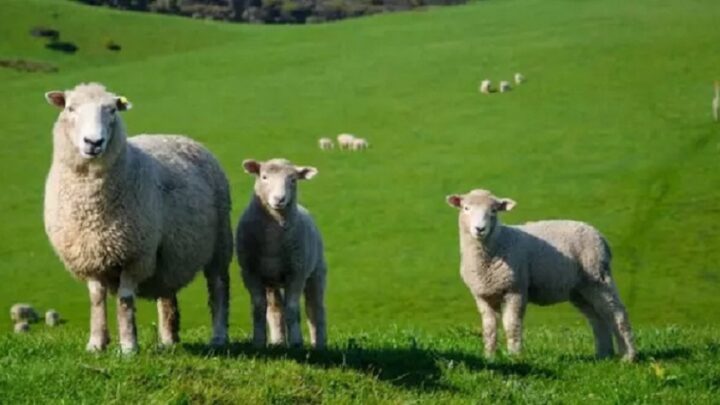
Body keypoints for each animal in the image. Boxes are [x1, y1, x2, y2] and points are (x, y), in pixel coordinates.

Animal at [42, 83, 232, 354]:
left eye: (112, 110)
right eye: (70, 108)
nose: (94, 142)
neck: (92, 209)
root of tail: (179, 137)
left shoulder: (134, 255)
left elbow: (125, 300)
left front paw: (129, 347)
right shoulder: (88, 255)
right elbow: (96, 299)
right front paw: (96, 343)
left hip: (220, 242)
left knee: (218, 286)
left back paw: (218, 336)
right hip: (168, 254)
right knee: (167, 293)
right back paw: (168, 340)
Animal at [236, 158, 326, 348]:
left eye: (293, 180)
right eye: (264, 177)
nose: (279, 199)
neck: (273, 240)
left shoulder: (297, 272)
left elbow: (292, 308)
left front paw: (297, 342)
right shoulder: (250, 272)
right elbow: (259, 307)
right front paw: (258, 342)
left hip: (316, 271)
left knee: (315, 308)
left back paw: (319, 343)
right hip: (271, 280)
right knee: (275, 308)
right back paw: (278, 341)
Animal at [448, 188, 640, 362]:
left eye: (494, 210)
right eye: (466, 208)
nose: (480, 229)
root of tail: (600, 236)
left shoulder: (516, 289)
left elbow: (511, 324)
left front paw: (515, 356)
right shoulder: (483, 295)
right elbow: (489, 328)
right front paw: (489, 357)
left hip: (598, 276)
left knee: (617, 313)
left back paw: (628, 356)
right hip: (580, 289)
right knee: (597, 317)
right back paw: (603, 355)